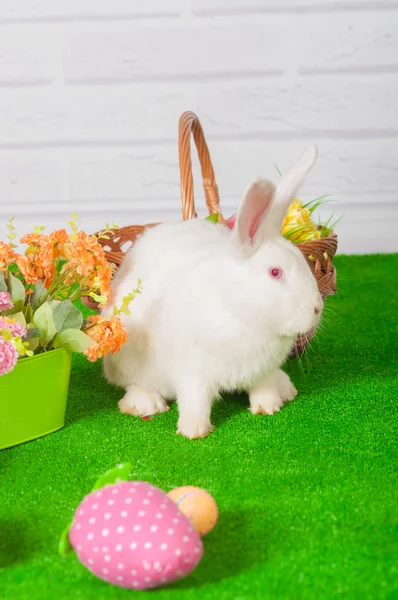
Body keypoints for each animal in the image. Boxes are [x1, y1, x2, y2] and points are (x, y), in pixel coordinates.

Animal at [102, 143, 324, 438]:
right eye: (275, 272)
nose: (317, 308)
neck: (238, 311)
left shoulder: (262, 370)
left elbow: (263, 387)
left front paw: (268, 407)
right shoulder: (192, 371)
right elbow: (194, 399)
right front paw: (194, 430)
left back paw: (285, 387)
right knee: (135, 383)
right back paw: (144, 404)